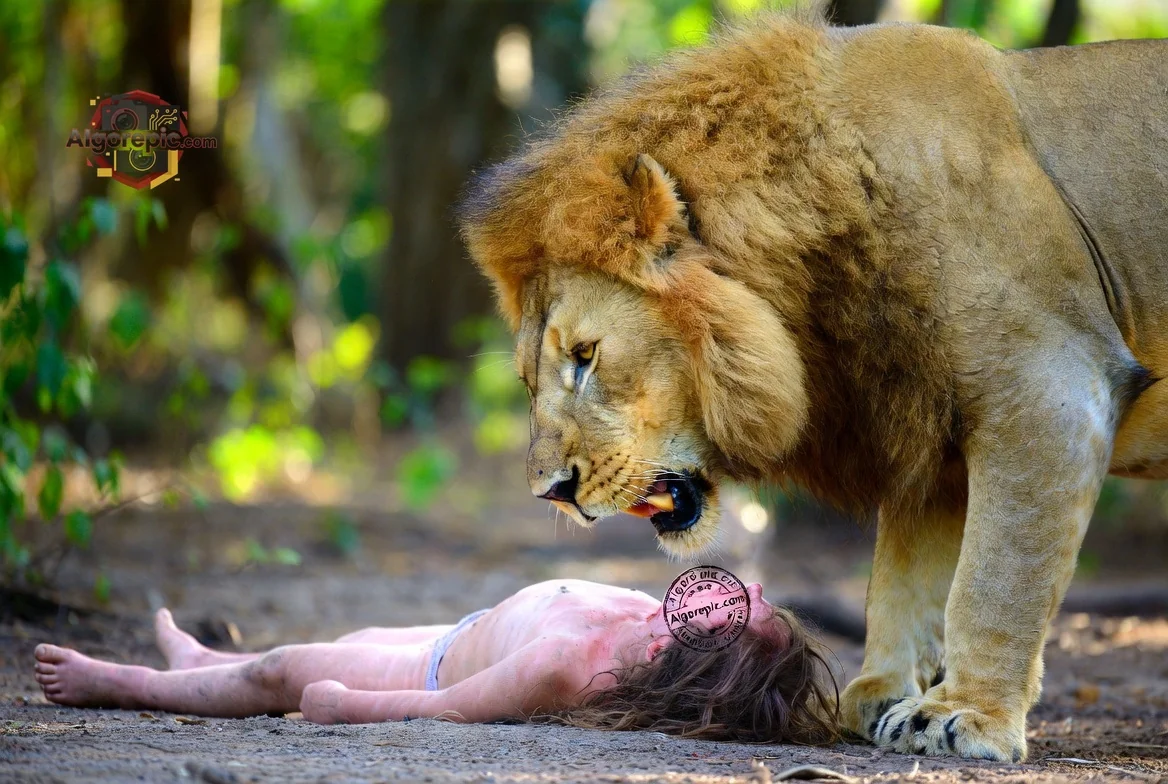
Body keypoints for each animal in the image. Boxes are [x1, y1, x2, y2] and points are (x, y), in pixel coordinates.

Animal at [457, 13, 1168, 763]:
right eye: (530, 379)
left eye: (586, 356)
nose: (551, 492)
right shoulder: (931, 430)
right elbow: (906, 577)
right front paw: (882, 696)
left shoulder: (1051, 383)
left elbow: (996, 574)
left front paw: (962, 715)